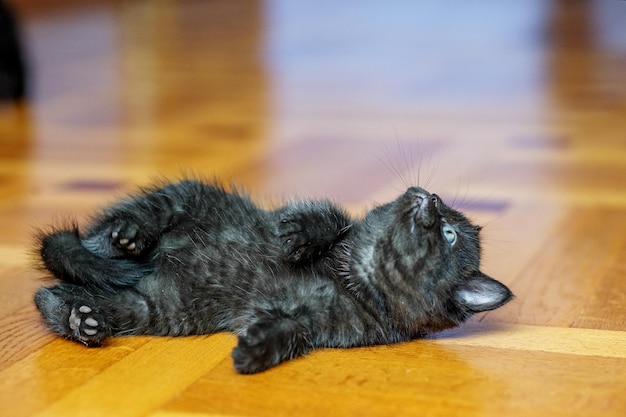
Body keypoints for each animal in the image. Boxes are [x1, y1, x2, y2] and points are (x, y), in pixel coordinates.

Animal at [34, 179, 510, 374]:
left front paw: (257, 349)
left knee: (52, 294)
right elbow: (329, 218)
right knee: (121, 229)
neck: (353, 278)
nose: (429, 196)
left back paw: (80, 318)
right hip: (186, 195)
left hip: (153, 306)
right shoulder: (320, 220)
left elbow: (289, 330)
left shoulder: (317, 325)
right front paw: (299, 236)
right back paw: (127, 237)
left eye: (449, 234)